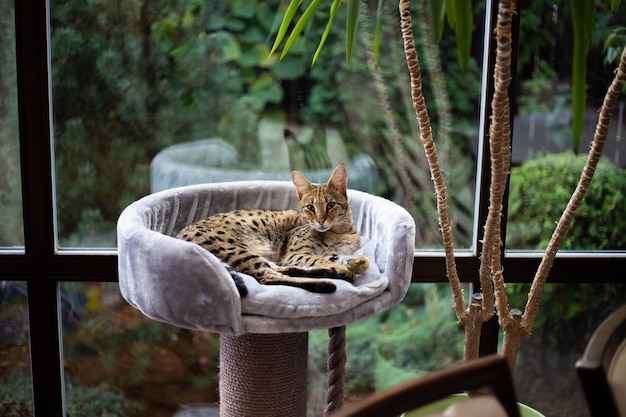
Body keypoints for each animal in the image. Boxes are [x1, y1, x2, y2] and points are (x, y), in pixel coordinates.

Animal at [176, 164, 368, 294]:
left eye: (330, 205)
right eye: (310, 207)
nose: (320, 220)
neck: (339, 232)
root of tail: (177, 236)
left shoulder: (332, 252)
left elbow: (343, 258)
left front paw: (356, 263)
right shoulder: (294, 254)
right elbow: (318, 258)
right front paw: (343, 267)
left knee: (278, 269)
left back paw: (331, 273)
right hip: (237, 249)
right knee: (267, 276)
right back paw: (326, 282)